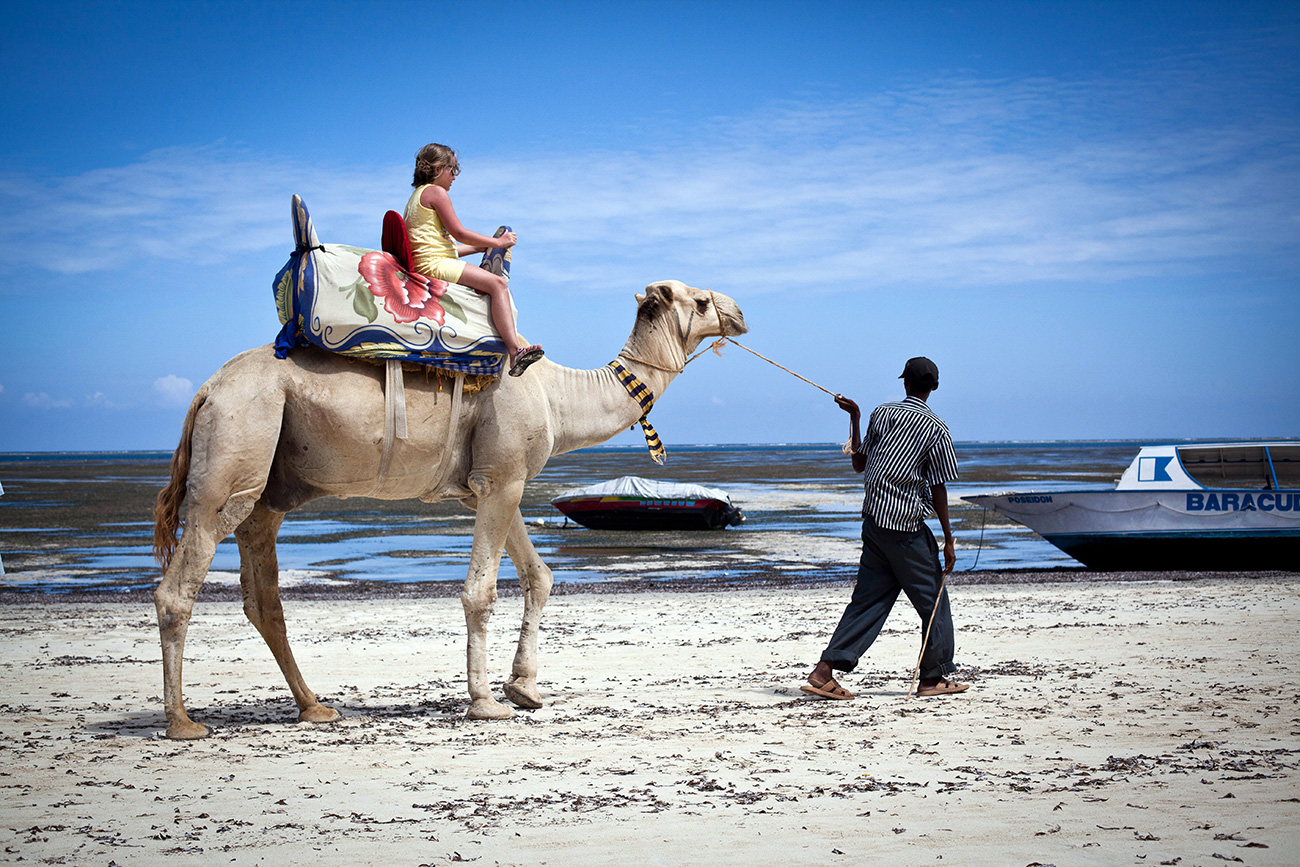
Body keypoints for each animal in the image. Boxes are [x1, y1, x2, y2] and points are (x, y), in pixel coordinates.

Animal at [148, 283, 748, 738]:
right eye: (699, 300)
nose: (740, 313)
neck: (557, 397)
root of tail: (205, 390)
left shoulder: (491, 485)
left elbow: (539, 575)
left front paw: (524, 688)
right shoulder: (502, 478)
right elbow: (479, 591)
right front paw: (485, 702)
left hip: (266, 489)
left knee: (265, 598)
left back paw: (315, 707)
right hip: (234, 452)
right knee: (178, 586)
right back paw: (182, 722)